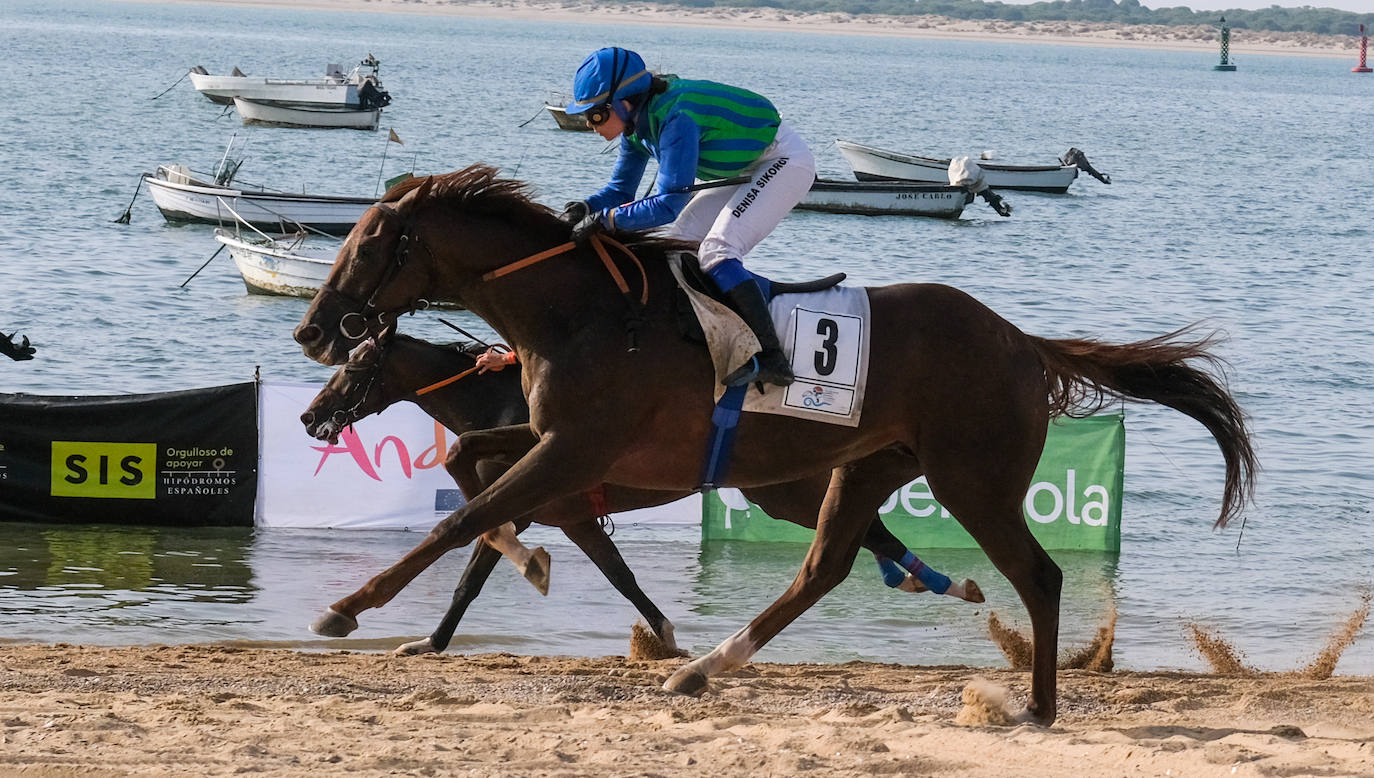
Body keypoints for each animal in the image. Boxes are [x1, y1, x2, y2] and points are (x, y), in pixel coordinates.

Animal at [300, 330, 986, 654]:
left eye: (354, 368)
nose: (310, 418)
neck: (500, 405)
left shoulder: (526, 507)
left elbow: (471, 576)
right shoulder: (569, 516)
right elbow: (619, 576)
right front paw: (665, 635)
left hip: (784, 494)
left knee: (869, 531)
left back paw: (941, 581)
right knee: (867, 531)